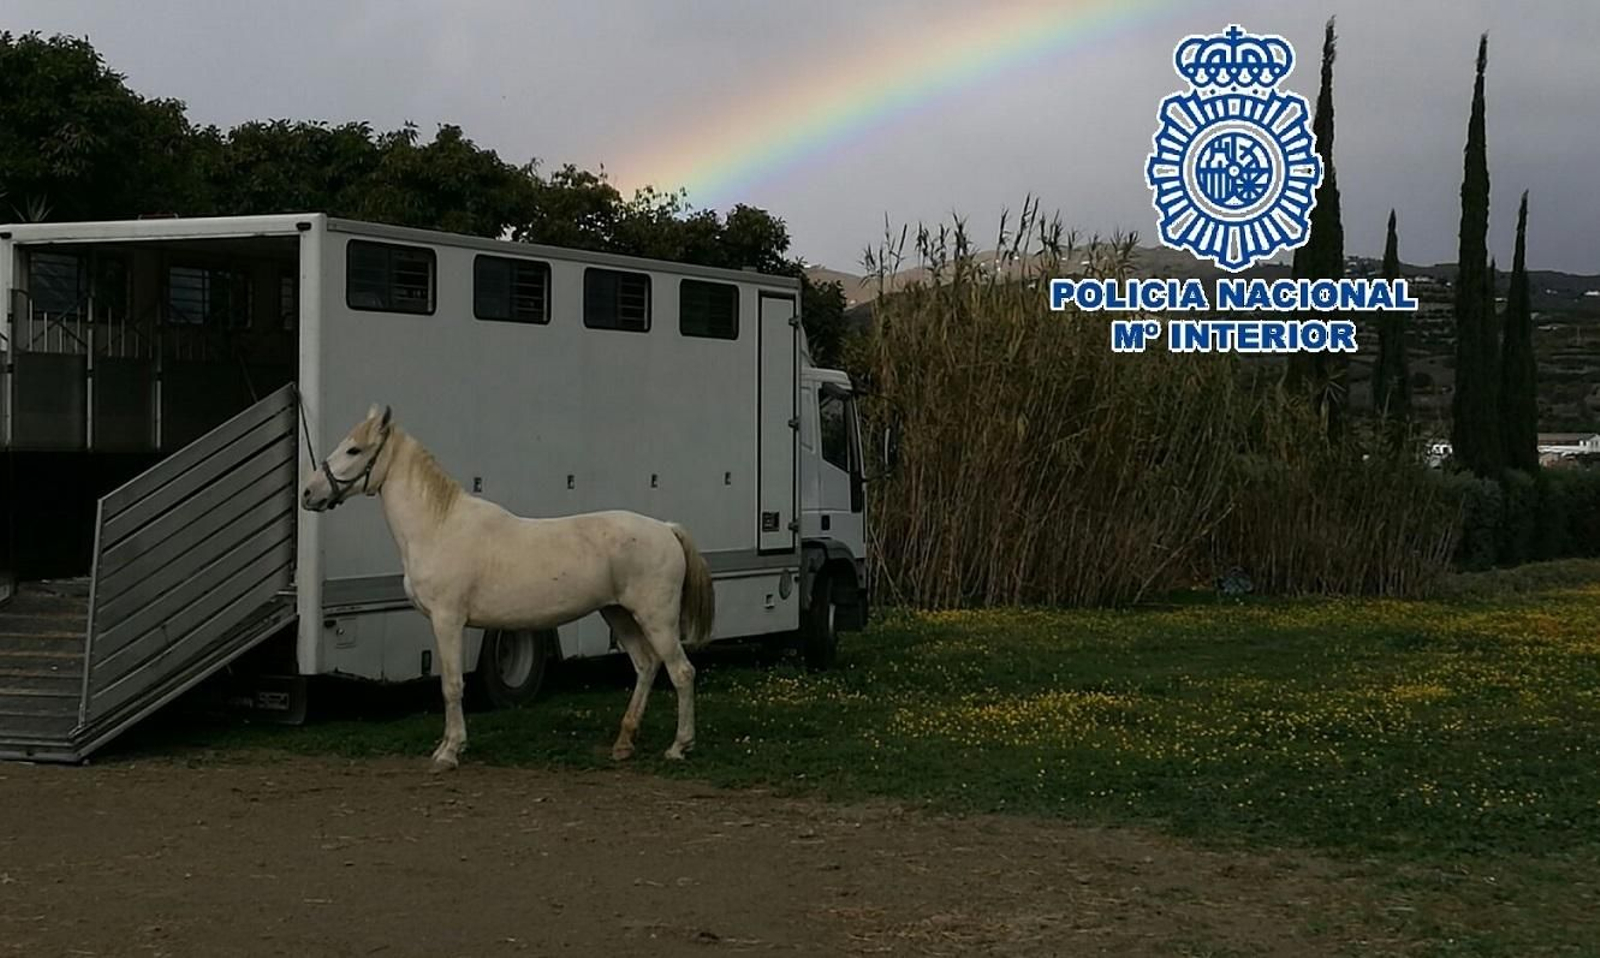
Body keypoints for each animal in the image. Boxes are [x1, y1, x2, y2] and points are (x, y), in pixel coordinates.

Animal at [300, 404, 716, 771]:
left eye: (354, 450)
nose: (309, 493)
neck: (439, 526)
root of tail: (666, 529)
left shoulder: (448, 621)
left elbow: (451, 685)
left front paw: (449, 752)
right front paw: (448, 745)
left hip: (656, 618)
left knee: (681, 672)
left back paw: (679, 747)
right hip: (618, 614)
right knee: (645, 665)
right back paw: (624, 744)